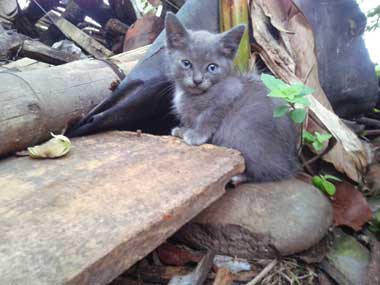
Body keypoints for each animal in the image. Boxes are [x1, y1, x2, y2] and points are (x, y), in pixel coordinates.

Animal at [165, 12, 298, 181]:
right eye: (186, 63)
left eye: (212, 67)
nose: (197, 80)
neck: (196, 95)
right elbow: (190, 121)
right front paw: (182, 131)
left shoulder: (228, 93)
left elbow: (207, 118)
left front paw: (195, 135)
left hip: (243, 135)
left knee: (269, 171)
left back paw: (238, 177)